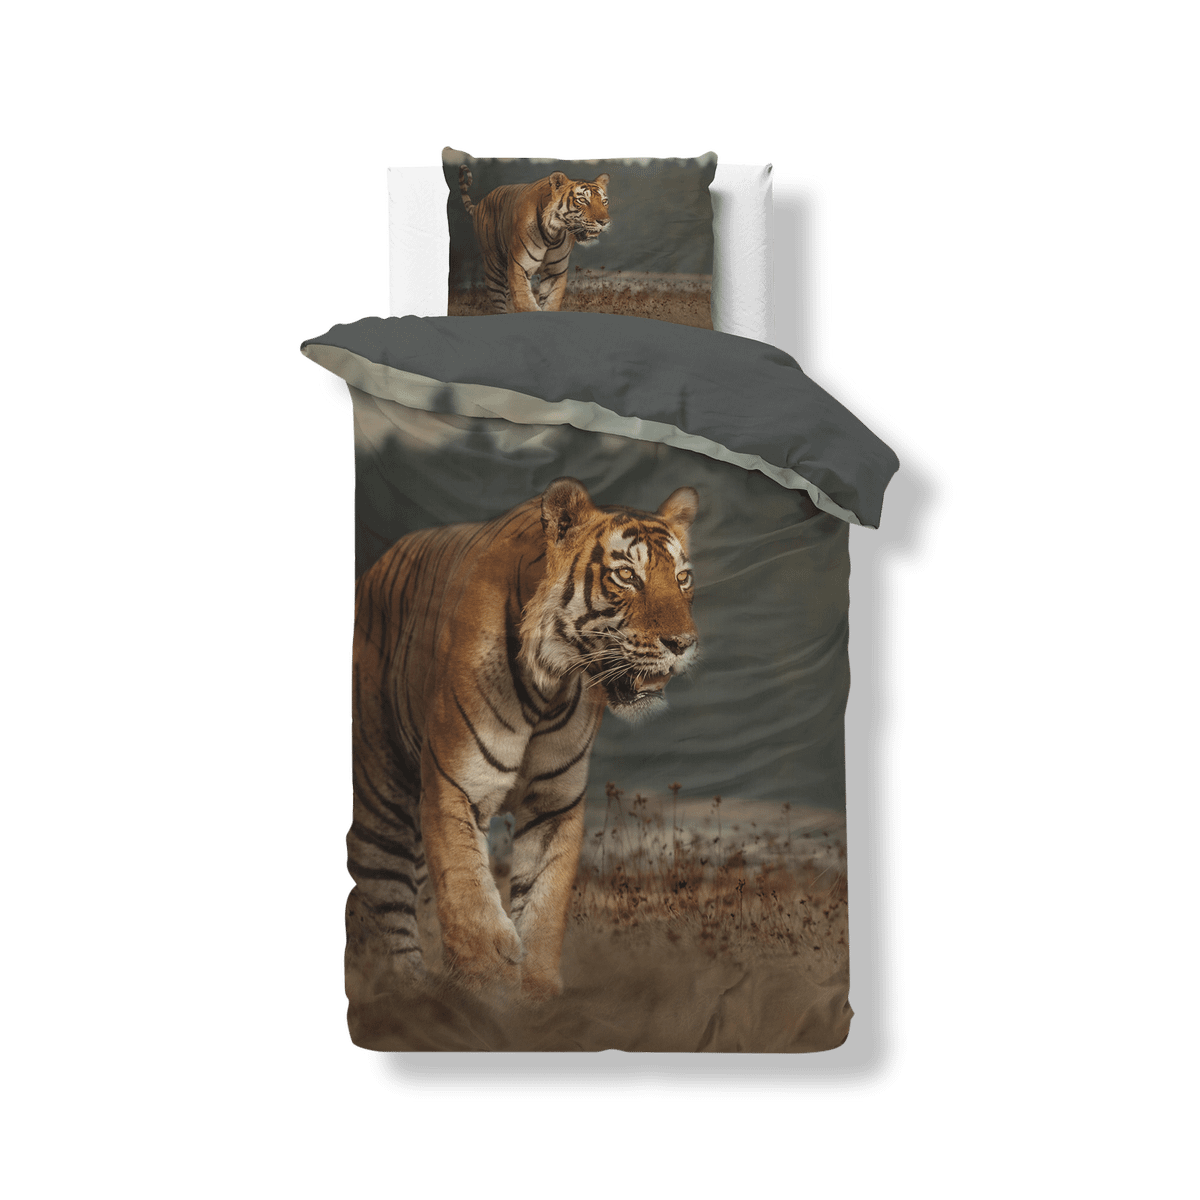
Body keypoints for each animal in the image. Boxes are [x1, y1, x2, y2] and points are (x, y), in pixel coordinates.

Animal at [348, 477, 699, 1003]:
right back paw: (406, 994)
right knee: (385, 901)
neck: (551, 683)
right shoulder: (455, 787)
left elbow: (542, 903)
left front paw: (536, 994)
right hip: (381, 795)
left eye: (683, 579)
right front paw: (487, 990)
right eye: (626, 576)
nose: (682, 644)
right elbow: (468, 895)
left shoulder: (555, 802)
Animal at [457, 165, 611, 314]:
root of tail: (479, 203)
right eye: (583, 200)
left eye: (604, 201)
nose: (604, 222)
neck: (553, 234)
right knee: (498, 304)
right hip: (494, 267)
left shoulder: (555, 271)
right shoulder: (519, 265)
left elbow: (550, 304)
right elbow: (526, 303)